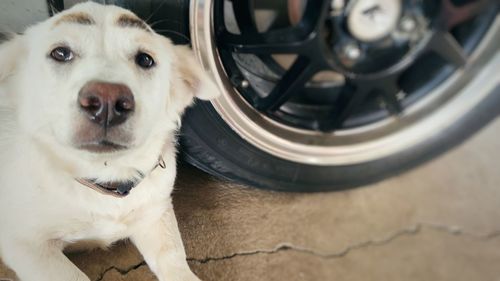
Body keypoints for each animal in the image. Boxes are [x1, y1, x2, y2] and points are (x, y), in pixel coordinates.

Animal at [0, 2, 219, 280]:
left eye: (145, 59)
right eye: (60, 53)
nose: (107, 101)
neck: (104, 178)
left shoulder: (156, 214)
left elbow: (175, 261)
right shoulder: (25, 243)